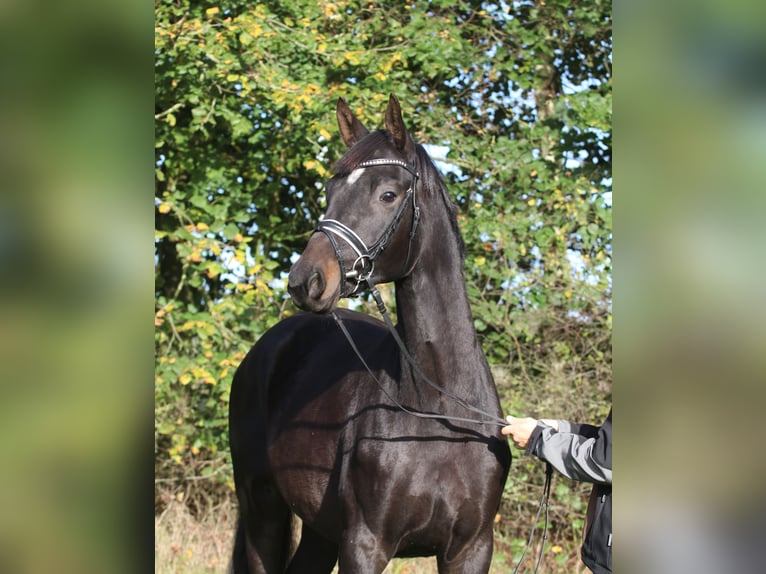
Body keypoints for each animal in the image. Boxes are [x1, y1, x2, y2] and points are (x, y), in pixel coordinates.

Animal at [231, 95, 512, 574]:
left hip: (320, 531)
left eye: (387, 194)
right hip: (261, 508)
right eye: (330, 192)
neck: (438, 412)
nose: (306, 281)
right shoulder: (365, 544)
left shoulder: (471, 549)